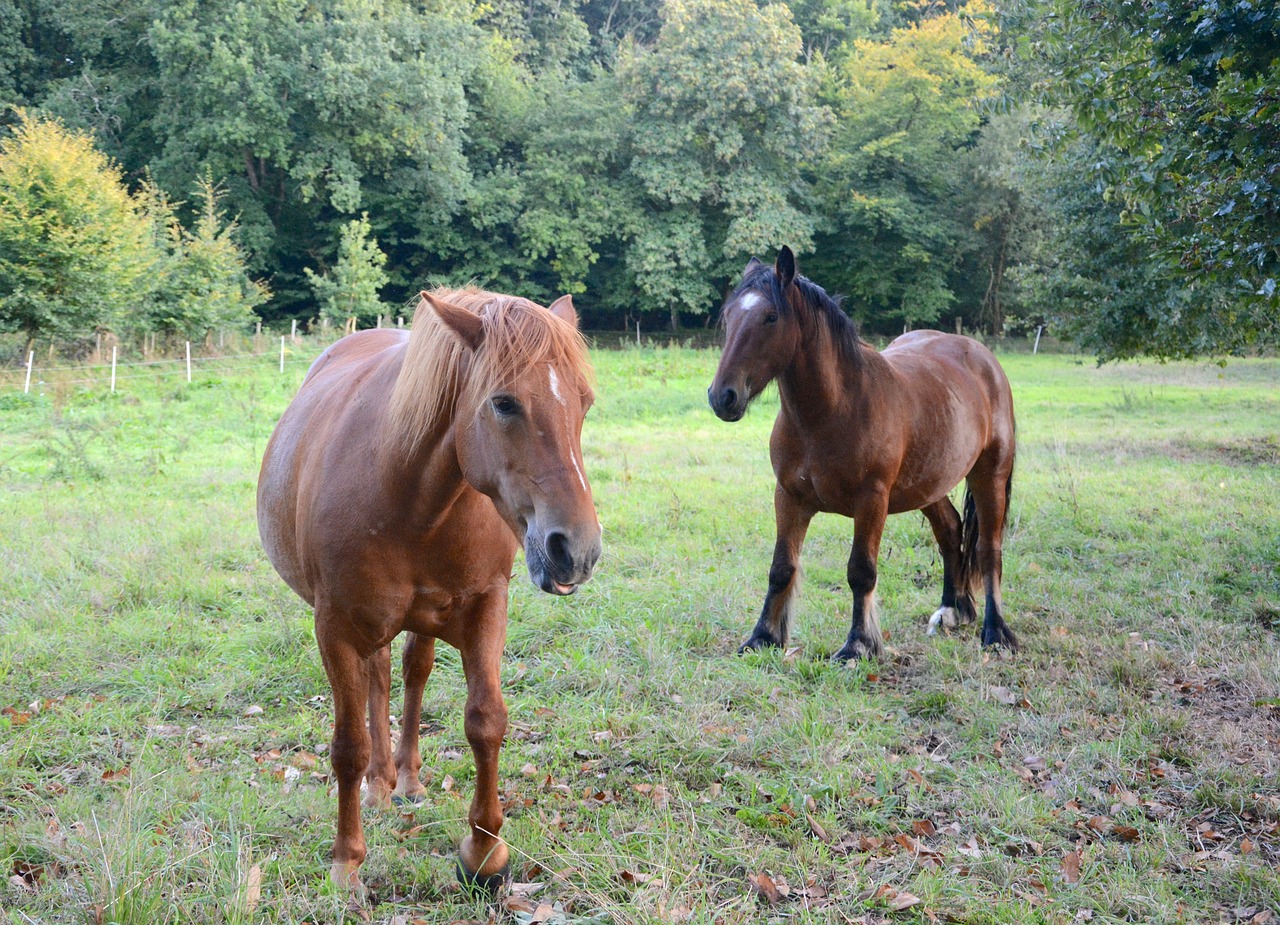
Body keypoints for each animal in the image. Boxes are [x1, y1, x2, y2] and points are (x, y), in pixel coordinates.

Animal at [258, 291, 604, 895]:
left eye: (583, 402)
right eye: (504, 403)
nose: (576, 550)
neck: (407, 494)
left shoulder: (488, 605)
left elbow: (486, 721)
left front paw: (484, 854)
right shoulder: (335, 627)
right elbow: (347, 746)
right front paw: (346, 862)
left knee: (410, 673)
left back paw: (408, 780)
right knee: (376, 684)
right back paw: (380, 785)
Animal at [706, 249, 1013, 660]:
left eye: (771, 317)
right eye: (729, 316)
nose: (722, 396)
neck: (830, 413)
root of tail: (981, 356)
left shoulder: (871, 501)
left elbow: (861, 572)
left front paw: (857, 646)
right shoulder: (788, 497)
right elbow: (781, 568)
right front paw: (763, 637)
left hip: (989, 474)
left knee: (988, 549)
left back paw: (995, 631)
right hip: (928, 484)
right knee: (950, 531)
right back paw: (953, 611)